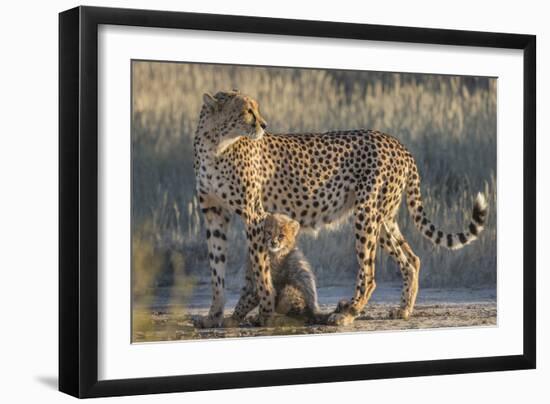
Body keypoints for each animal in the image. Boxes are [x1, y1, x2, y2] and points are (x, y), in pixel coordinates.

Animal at [193, 90, 488, 326]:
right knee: (411, 259)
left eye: (255, 109)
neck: (215, 145)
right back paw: (403, 310)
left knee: (369, 272)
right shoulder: (214, 214)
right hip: (383, 218)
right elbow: (217, 269)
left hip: (366, 214)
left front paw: (263, 313)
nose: (264, 125)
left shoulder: (254, 215)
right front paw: (213, 316)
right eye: (247, 111)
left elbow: (260, 267)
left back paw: (348, 312)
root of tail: (396, 142)